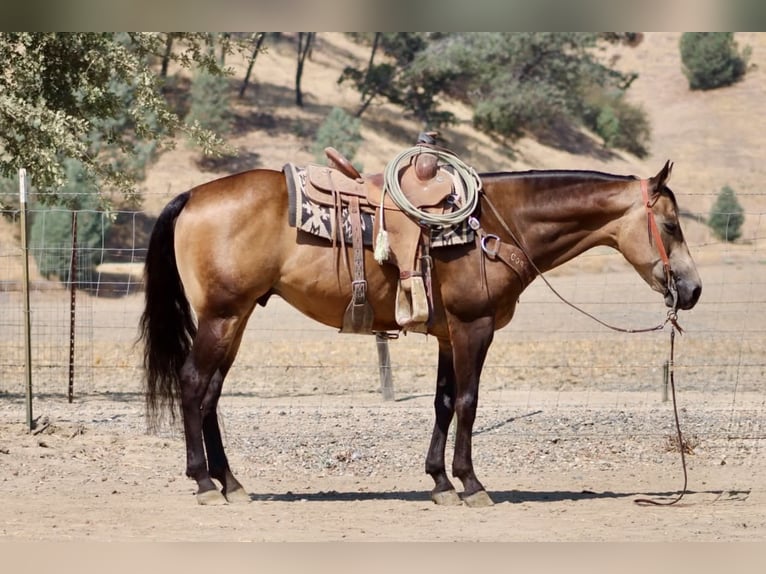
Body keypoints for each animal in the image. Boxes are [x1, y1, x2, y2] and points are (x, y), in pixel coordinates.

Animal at [139, 158, 701, 506]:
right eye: (671, 226)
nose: (692, 289)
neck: (496, 224)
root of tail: (193, 195)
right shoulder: (475, 327)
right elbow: (470, 402)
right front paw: (471, 484)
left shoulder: (450, 334)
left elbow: (444, 403)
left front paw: (440, 481)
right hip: (222, 316)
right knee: (194, 384)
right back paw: (203, 481)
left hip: (235, 318)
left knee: (211, 393)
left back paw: (230, 482)